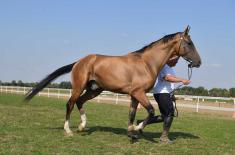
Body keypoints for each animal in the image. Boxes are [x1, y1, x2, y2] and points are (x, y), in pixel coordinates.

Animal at [23, 25, 201, 138]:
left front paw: (132, 131)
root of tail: (79, 61)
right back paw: (69, 131)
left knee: (80, 102)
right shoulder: (138, 92)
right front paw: (137, 127)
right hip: (79, 87)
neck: (146, 63)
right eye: (189, 43)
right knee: (70, 103)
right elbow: (151, 111)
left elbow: (132, 114)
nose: (198, 62)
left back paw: (82, 126)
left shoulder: (134, 95)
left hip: (95, 89)